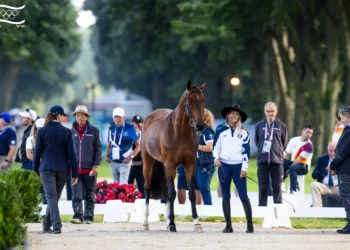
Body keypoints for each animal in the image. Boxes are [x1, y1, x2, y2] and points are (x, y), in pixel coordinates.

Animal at [141, 80, 206, 232]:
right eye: (190, 101)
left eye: (202, 100)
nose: (200, 125)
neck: (179, 132)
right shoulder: (171, 164)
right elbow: (172, 194)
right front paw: (172, 224)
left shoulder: (190, 164)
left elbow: (192, 194)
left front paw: (197, 223)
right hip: (148, 162)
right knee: (147, 188)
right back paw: (146, 223)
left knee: (165, 190)